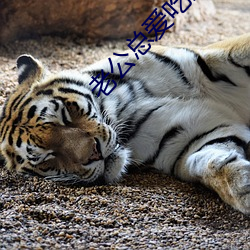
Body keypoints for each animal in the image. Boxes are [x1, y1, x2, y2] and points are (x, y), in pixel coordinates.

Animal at [0, 32, 250, 214]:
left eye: (65, 115)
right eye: (48, 157)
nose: (95, 153)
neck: (123, 106)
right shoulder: (187, 137)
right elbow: (210, 161)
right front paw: (243, 188)